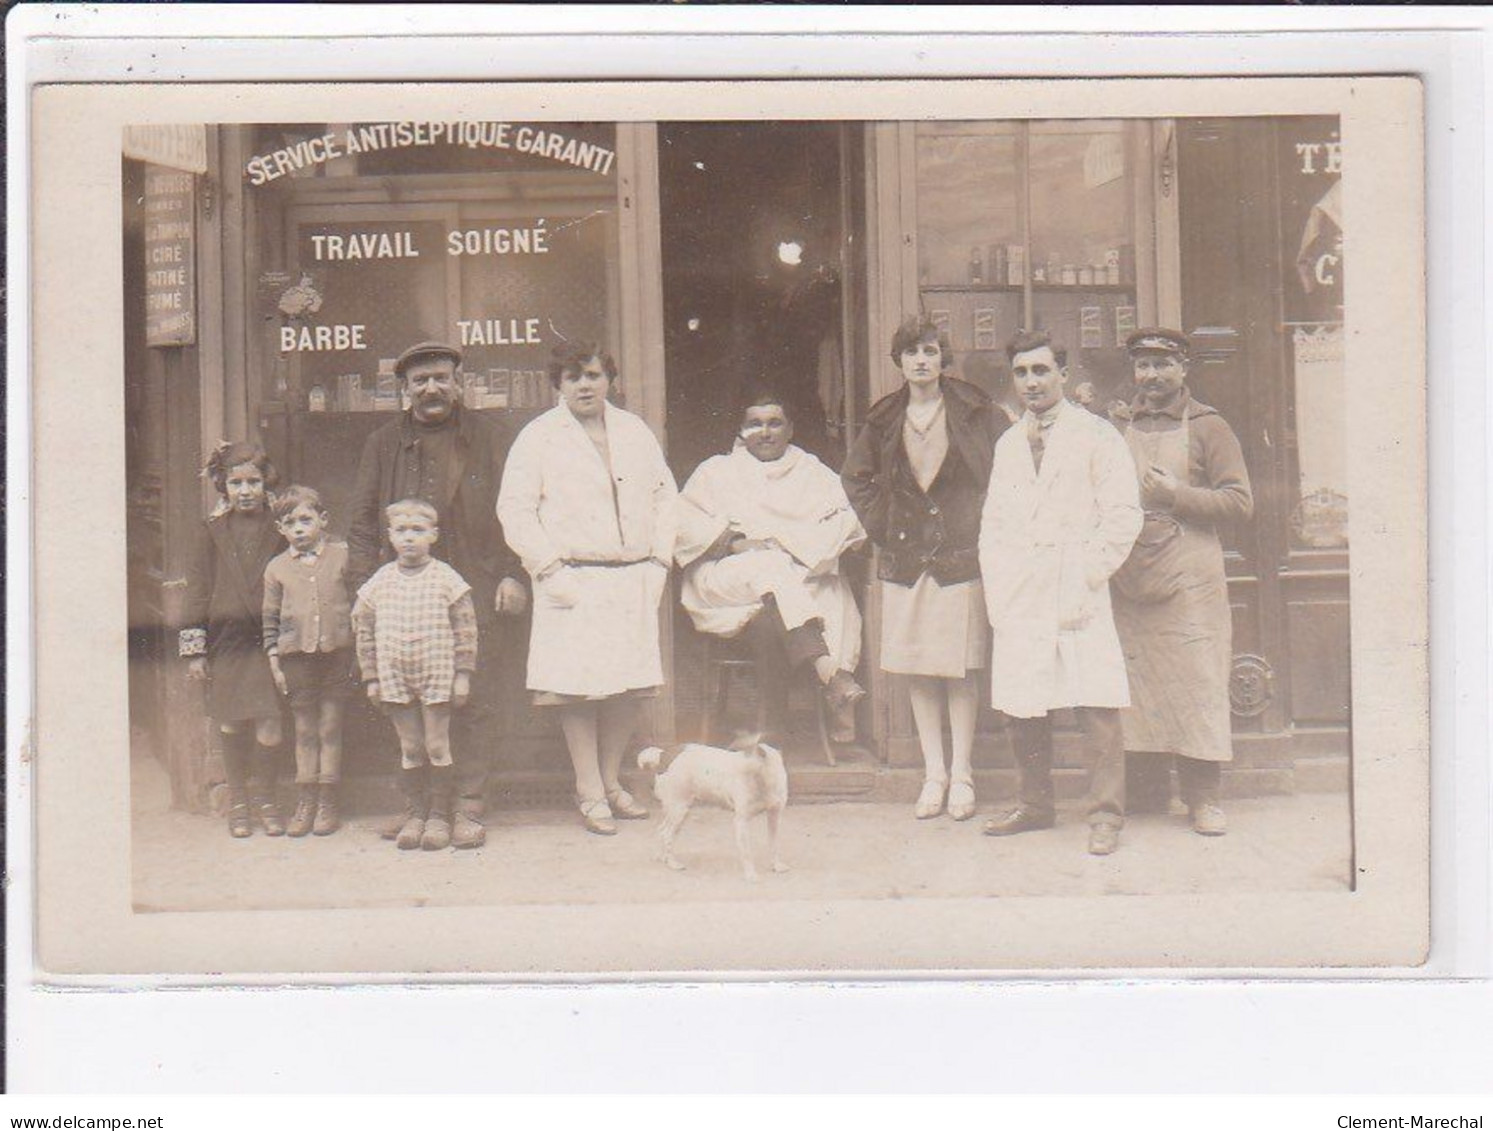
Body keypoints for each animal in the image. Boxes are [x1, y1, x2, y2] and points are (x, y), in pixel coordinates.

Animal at [636, 734, 788, 883]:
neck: (763, 782)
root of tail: (664, 753)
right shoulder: (741, 821)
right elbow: (747, 853)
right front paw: (751, 875)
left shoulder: (775, 816)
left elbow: (774, 844)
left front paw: (777, 866)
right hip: (678, 810)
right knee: (666, 833)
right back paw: (673, 863)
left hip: (678, 812)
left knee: (662, 831)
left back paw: (663, 857)